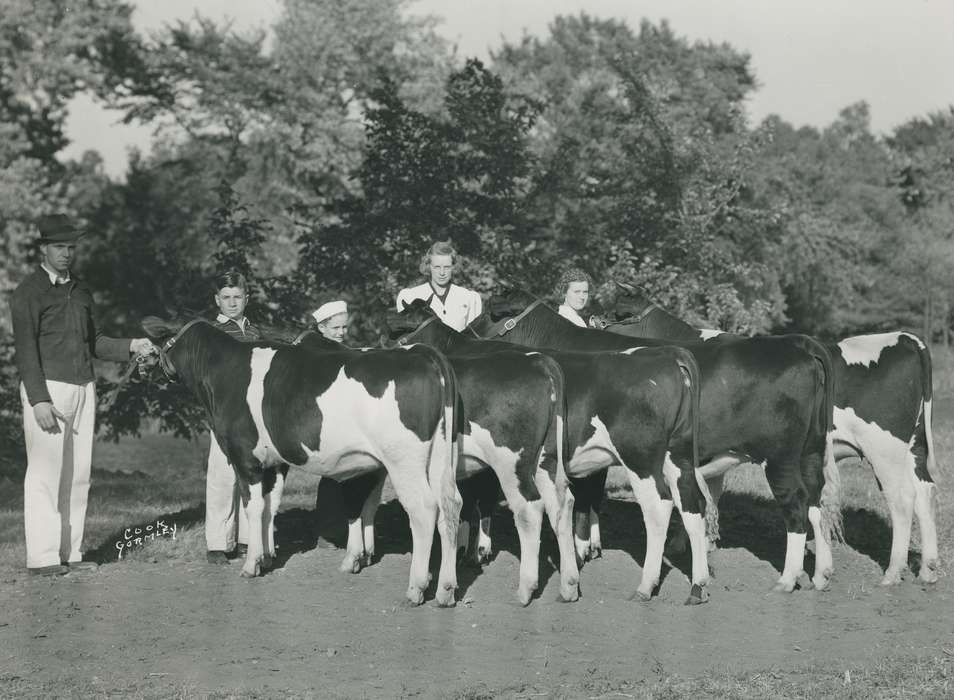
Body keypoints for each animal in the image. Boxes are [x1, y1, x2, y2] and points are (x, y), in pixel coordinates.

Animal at [142, 317, 462, 607]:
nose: (144, 364)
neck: (224, 372)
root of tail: (420, 353)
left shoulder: (245, 456)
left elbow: (253, 508)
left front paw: (251, 564)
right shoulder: (275, 461)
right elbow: (270, 507)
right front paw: (267, 557)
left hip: (403, 459)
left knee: (424, 509)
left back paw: (416, 588)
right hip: (440, 456)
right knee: (450, 505)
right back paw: (446, 589)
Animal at [295, 327, 580, 606]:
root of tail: (539, 361)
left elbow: (355, 504)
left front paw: (353, 557)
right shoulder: (379, 466)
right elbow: (369, 504)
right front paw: (366, 552)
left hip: (511, 464)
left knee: (528, 510)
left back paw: (523, 589)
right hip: (546, 460)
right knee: (562, 504)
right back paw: (568, 585)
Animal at [389, 299, 711, 605]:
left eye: (402, 325)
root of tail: (668, 355)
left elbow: (474, 503)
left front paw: (471, 554)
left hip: (639, 455)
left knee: (658, 506)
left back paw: (645, 586)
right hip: (677, 455)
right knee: (691, 504)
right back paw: (698, 586)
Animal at [470, 290, 842, 594]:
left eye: (491, 310)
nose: (467, 332)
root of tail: (799, 345)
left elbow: (584, 497)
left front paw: (581, 548)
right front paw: (589, 546)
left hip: (779, 456)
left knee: (796, 505)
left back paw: (787, 579)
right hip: (810, 451)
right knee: (816, 501)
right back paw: (821, 575)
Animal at [606, 284, 940, 585]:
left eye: (614, 311)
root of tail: (906, 338)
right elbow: (709, 495)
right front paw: (697, 542)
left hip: (883, 449)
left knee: (901, 499)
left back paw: (892, 572)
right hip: (913, 446)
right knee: (924, 491)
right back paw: (927, 569)